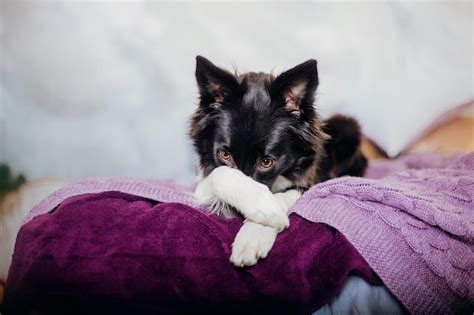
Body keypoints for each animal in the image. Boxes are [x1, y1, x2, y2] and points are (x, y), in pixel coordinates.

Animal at [189, 56, 366, 266]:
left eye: (267, 162)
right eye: (225, 155)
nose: (234, 212)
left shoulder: (314, 182)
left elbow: (287, 195)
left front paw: (256, 231)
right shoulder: (202, 185)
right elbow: (221, 173)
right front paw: (262, 209)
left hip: (347, 126)